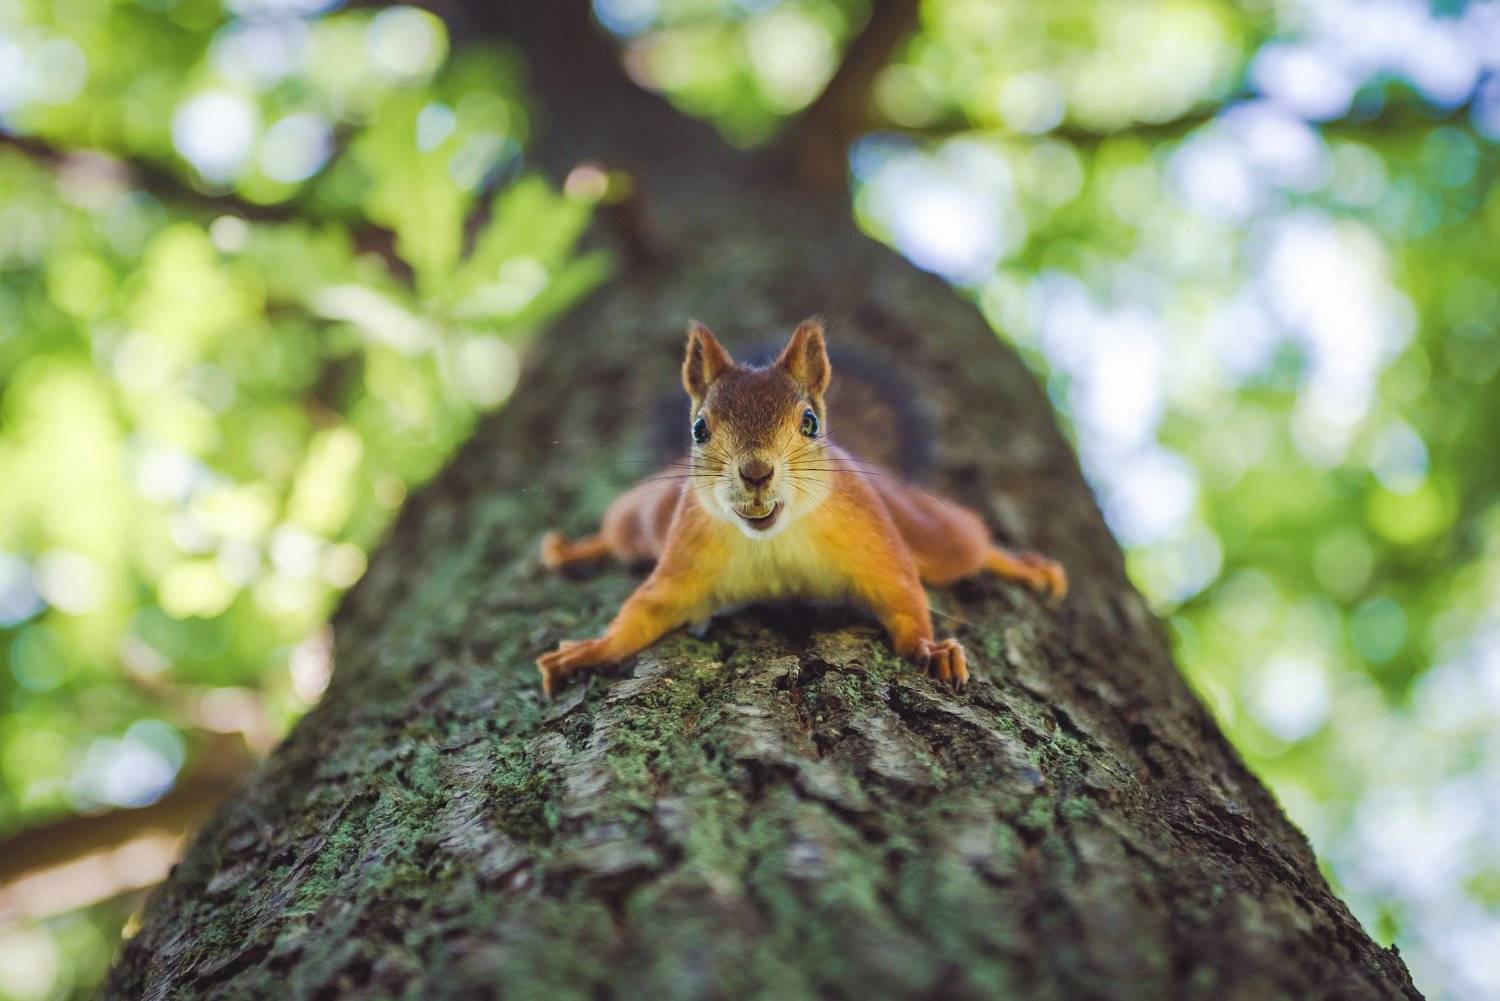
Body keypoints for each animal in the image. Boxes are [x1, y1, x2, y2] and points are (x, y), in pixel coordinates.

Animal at [537, 318, 1067, 696]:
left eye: (810, 422)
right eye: (699, 429)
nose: (755, 472)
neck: (774, 537)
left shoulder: (873, 539)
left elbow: (903, 592)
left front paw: (931, 648)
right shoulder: (685, 554)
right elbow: (645, 610)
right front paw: (588, 651)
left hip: (926, 529)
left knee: (967, 547)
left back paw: (1028, 568)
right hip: (647, 515)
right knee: (616, 533)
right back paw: (572, 551)